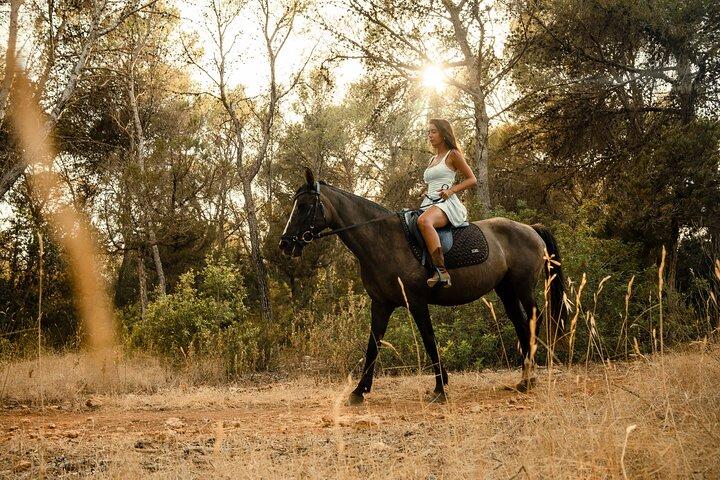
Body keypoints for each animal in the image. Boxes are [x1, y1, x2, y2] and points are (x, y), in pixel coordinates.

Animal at [279, 168, 565, 405]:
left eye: (304, 206)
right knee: (521, 324)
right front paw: (359, 391)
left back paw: (528, 376)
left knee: (533, 319)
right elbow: (373, 345)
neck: (384, 241)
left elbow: (429, 340)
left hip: (522, 287)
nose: (285, 244)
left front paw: (440, 388)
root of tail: (531, 229)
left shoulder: (416, 302)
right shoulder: (381, 304)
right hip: (505, 290)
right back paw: (525, 378)